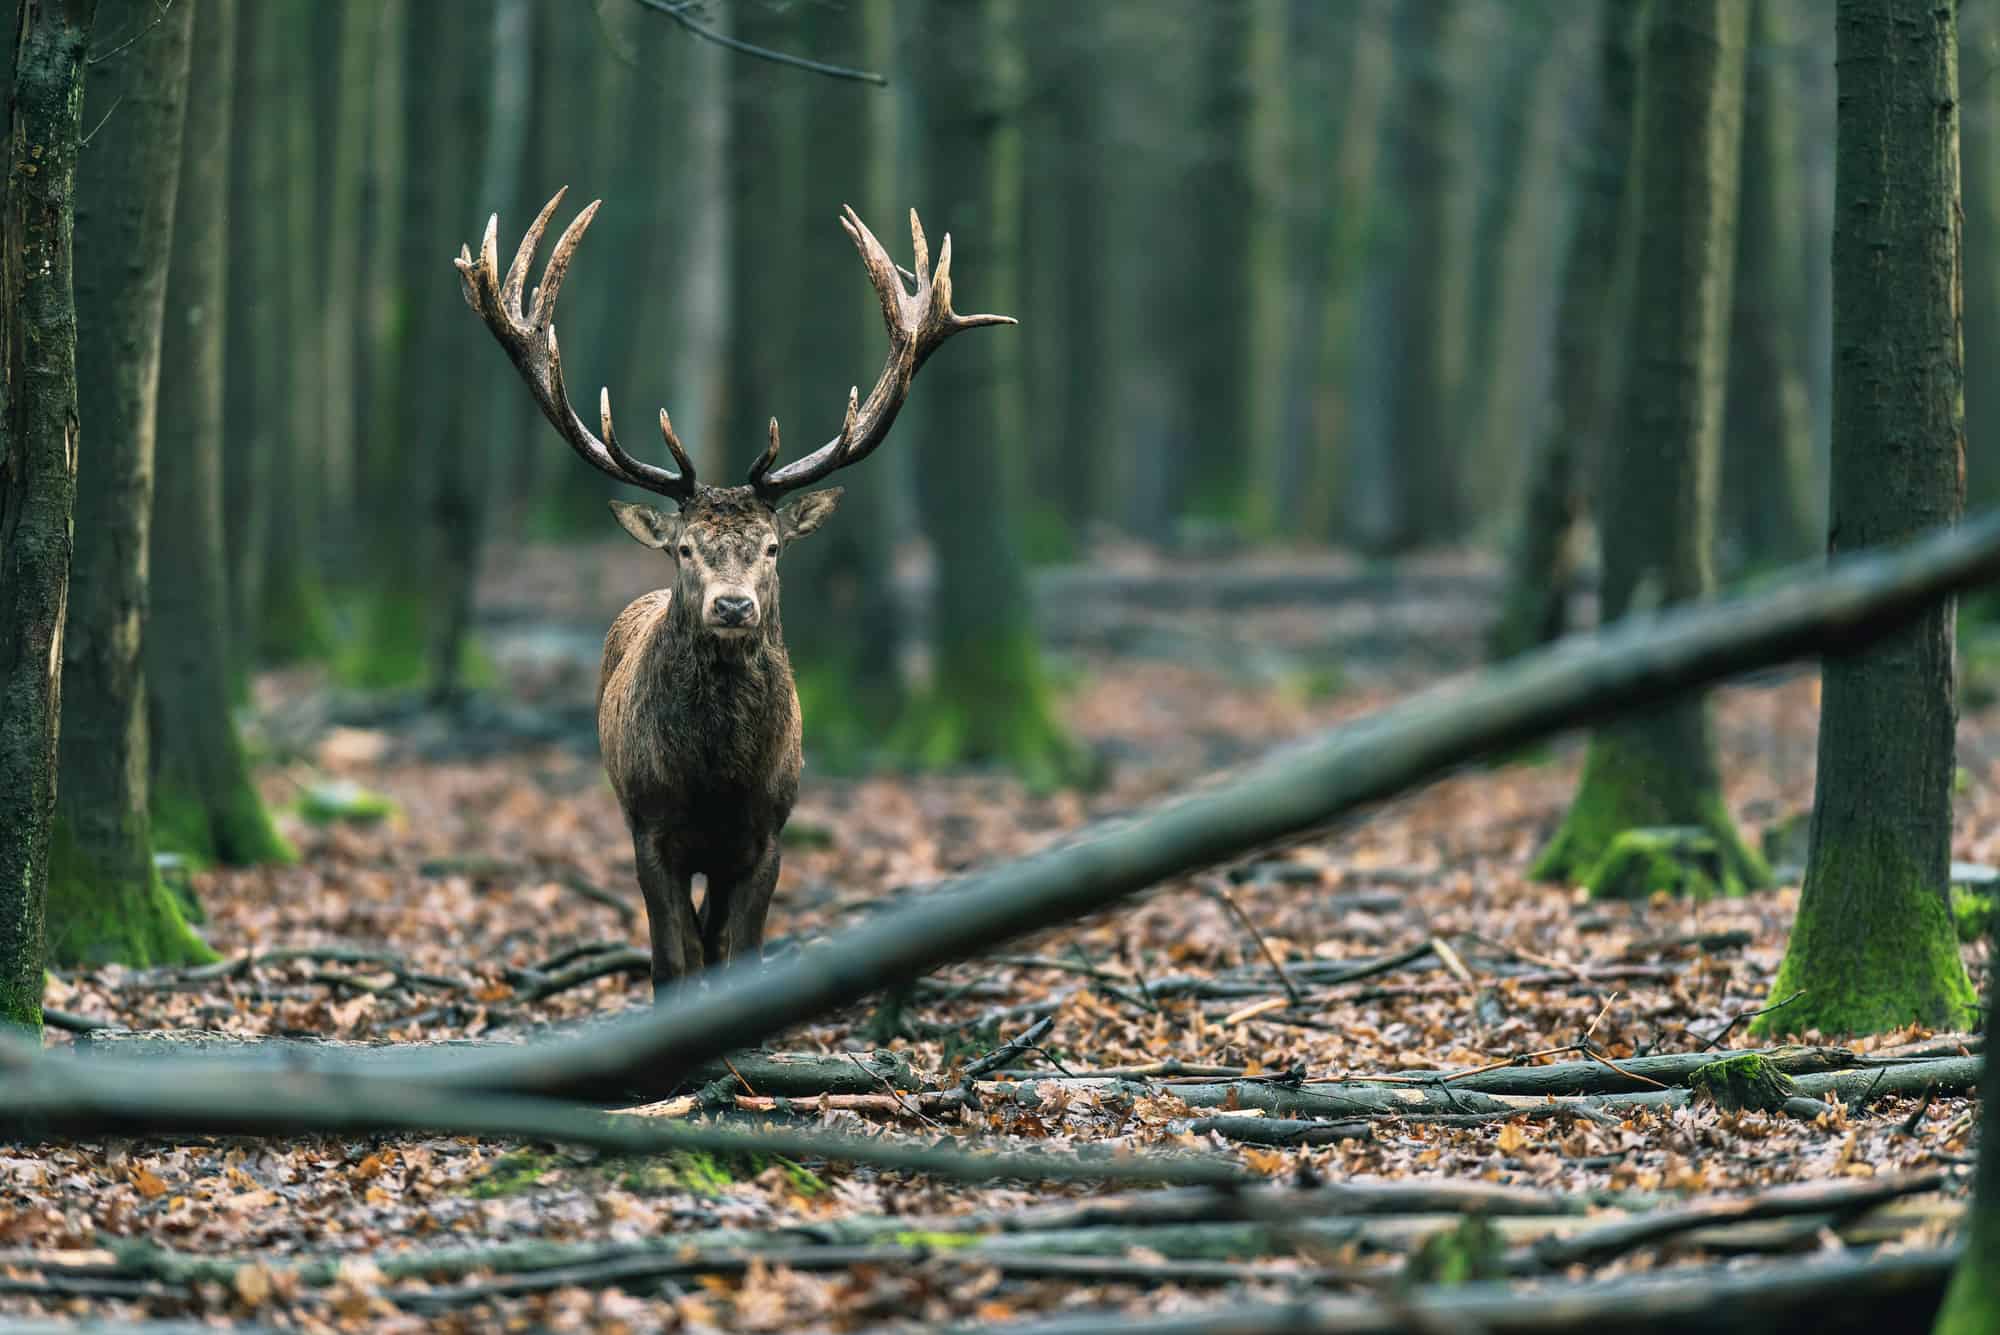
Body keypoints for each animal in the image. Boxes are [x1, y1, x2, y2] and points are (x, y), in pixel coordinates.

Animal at [458, 192, 1016, 995]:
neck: (717, 780)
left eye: (774, 547)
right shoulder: (652, 826)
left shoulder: (768, 832)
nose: (731, 606)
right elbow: (674, 958)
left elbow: (738, 948)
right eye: (685, 548)